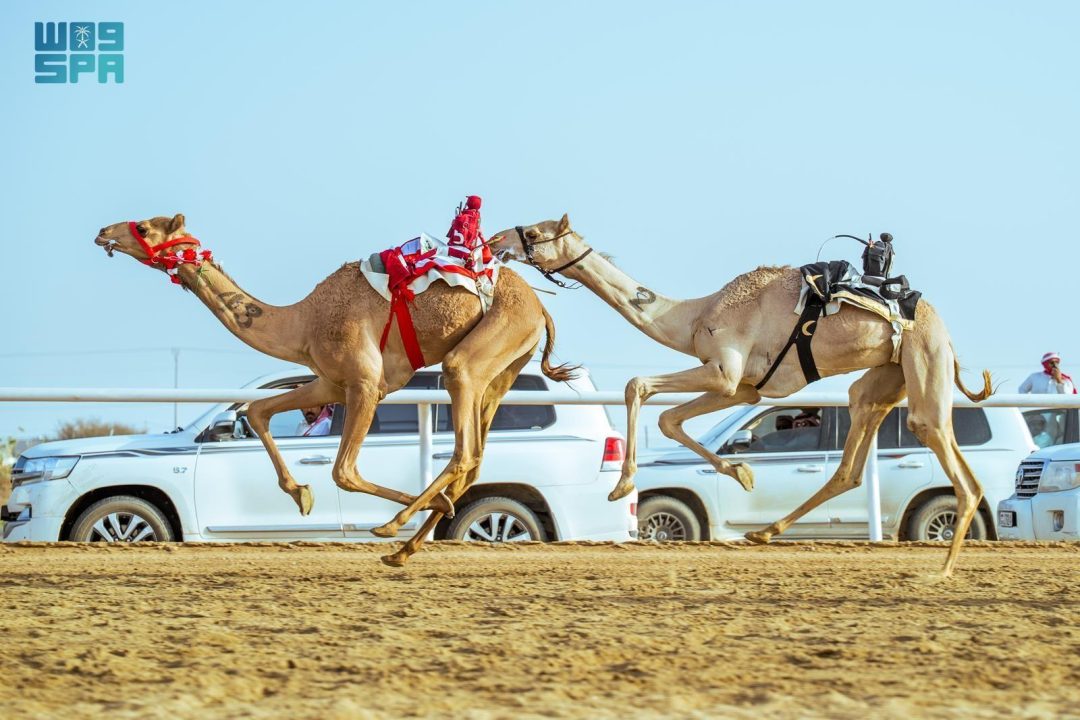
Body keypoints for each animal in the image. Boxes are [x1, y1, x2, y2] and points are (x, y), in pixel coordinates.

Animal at [94, 214, 574, 566]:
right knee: (474, 457)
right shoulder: (330, 381)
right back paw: (404, 549)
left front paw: (413, 512)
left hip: (479, 355)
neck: (302, 322)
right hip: (502, 373)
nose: (102, 232)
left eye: (144, 227)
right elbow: (258, 411)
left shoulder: (365, 383)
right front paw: (301, 495)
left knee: (463, 448)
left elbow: (343, 471)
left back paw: (398, 527)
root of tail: (543, 308)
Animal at [488, 216, 993, 576]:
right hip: (884, 378)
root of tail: (943, 331)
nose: (495, 240)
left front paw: (622, 484)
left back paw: (941, 571)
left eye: (534, 231)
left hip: (924, 362)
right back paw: (763, 533)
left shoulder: (723, 372)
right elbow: (669, 419)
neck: (694, 316)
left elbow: (637, 386)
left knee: (948, 459)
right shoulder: (746, 388)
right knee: (853, 458)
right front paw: (743, 474)